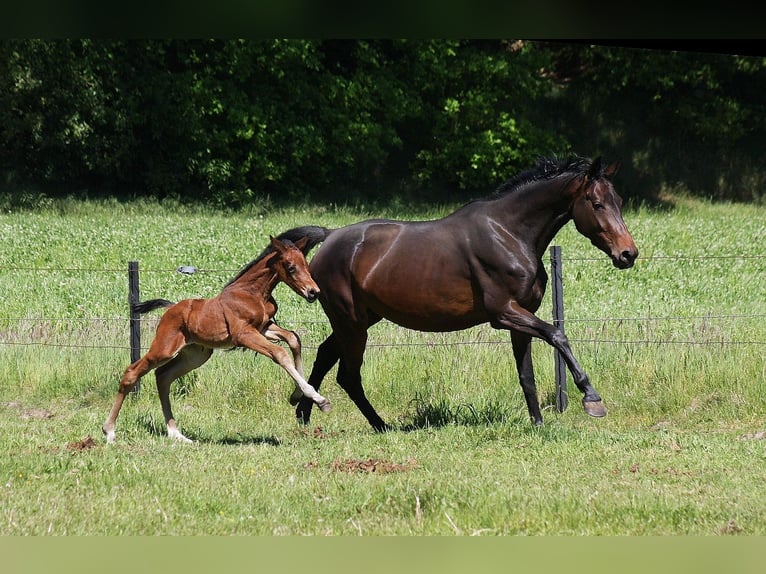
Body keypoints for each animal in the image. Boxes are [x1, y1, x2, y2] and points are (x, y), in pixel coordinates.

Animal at [102, 235, 331, 444]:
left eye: (306, 265)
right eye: (291, 267)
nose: (313, 292)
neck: (252, 292)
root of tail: (170, 308)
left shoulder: (264, 327)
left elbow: (294, 339)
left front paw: (297, 396)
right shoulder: (243, 334)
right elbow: (280, 353)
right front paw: (319, 399)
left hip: (195, 355)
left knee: (163, 376)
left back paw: (176, 434)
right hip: (164, 348)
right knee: (133, 372)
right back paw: (109, 431)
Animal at [277, 155, 639, 431]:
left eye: (620, 202)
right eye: (597, 203)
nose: (628, 254)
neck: (508, 234)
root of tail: (330, 236)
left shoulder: (521, 318)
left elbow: (527, 374)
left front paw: (538, 424)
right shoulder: (504, 313)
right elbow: (558, 335)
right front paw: (592, 400)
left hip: (360, 320)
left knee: (326, 356)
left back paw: (305, 414)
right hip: (351, 322)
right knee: (348, 375)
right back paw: (379, 426)